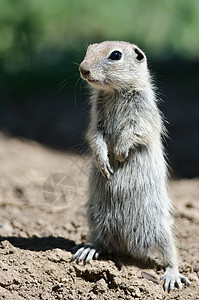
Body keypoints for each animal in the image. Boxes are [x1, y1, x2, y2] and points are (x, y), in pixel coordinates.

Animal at [72, 40, 190, 290]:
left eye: (116, 55)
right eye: (89, 49)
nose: (83, 69)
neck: (115, 91)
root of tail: (128, 247)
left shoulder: (144, 111)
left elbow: (137, 130)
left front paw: (120, 152)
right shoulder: (96, 116)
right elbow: (95, 135)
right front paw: (104, 162)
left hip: (160, 226)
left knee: (170, 252)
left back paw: (172, 275)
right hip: (94, 218)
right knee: (102, 243)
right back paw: (89, 249)